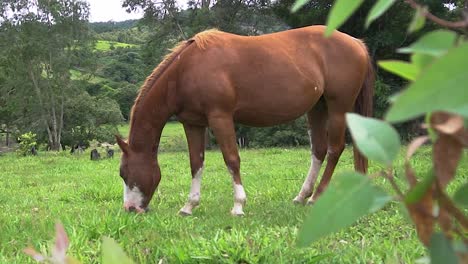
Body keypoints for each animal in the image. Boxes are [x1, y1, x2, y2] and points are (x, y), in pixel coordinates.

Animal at [116, 24, 372, 216]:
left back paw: (316, 198)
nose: (130, 208)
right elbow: (196, 163)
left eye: (123, 173)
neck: (186, 70)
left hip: (338, 108)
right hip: (317, 108)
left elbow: (232, 159)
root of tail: (356, 42)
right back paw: (301, 196)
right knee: (318, 151)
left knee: (335, 149)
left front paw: (238, 205)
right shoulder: (193, 123)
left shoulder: (220, 117)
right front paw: (189, 206)